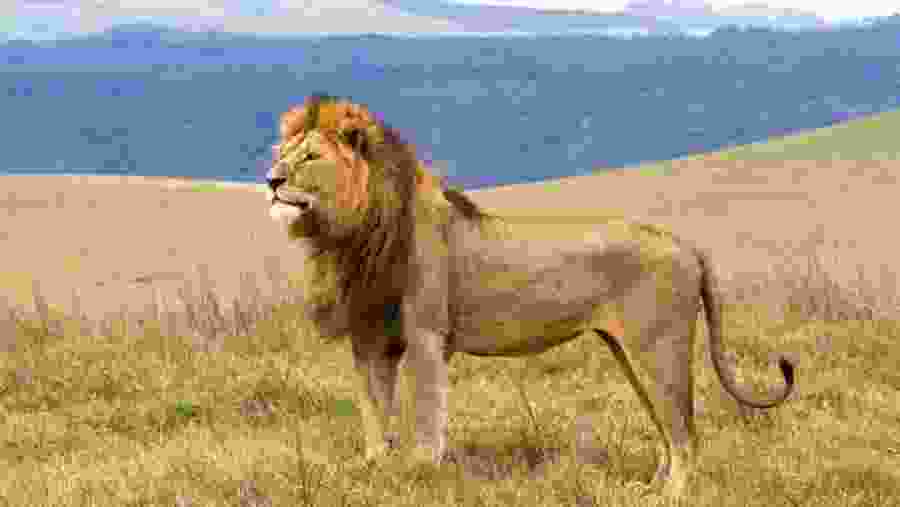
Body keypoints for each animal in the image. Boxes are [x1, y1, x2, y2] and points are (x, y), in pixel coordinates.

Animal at [265, 94, 796, 499]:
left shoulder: (427, 338)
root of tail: (687, 245)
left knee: (686, 435)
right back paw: (648, 490)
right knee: (669, 431)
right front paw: (375, 471)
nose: (271, 180)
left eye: (310, 157)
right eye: (282, 153)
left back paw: (670, 496)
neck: (353, 233)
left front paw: (424, 475)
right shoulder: (371, 339)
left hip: (658, 348)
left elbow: (427, 418)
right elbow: (374, 414)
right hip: (630, 353)